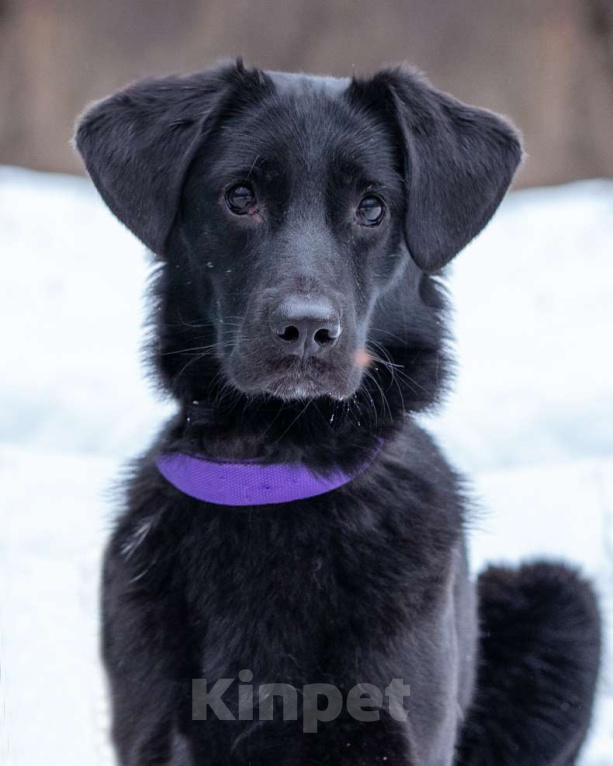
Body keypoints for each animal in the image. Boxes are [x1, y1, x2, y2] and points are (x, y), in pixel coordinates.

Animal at [74, 61, 600, 766]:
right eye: (240, 196)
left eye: (371, 208)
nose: (306, 330)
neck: (275, 470)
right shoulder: (158, 728)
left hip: (562, 599)